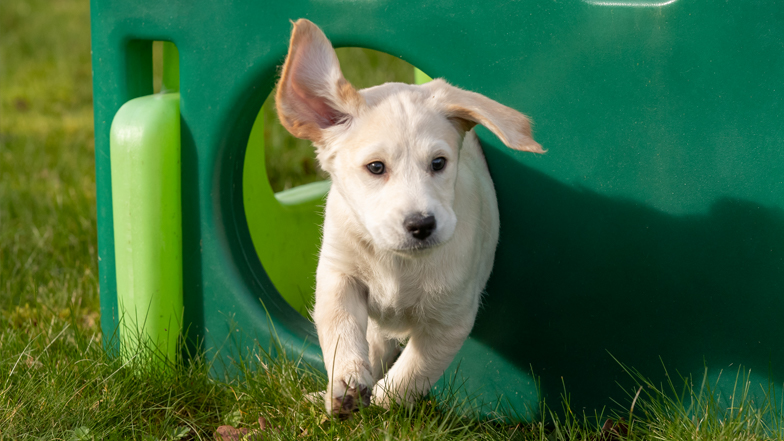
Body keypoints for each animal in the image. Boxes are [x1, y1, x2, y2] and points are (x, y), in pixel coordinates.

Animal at [272, 18, 544, 414]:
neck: (397, 261)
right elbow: (340, 329)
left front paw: (381, 402)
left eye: (438, 163)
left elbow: (411, 373)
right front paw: (345, 382)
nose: (422, 225)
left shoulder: (450, 318)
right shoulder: (339, 276)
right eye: (375, 167)